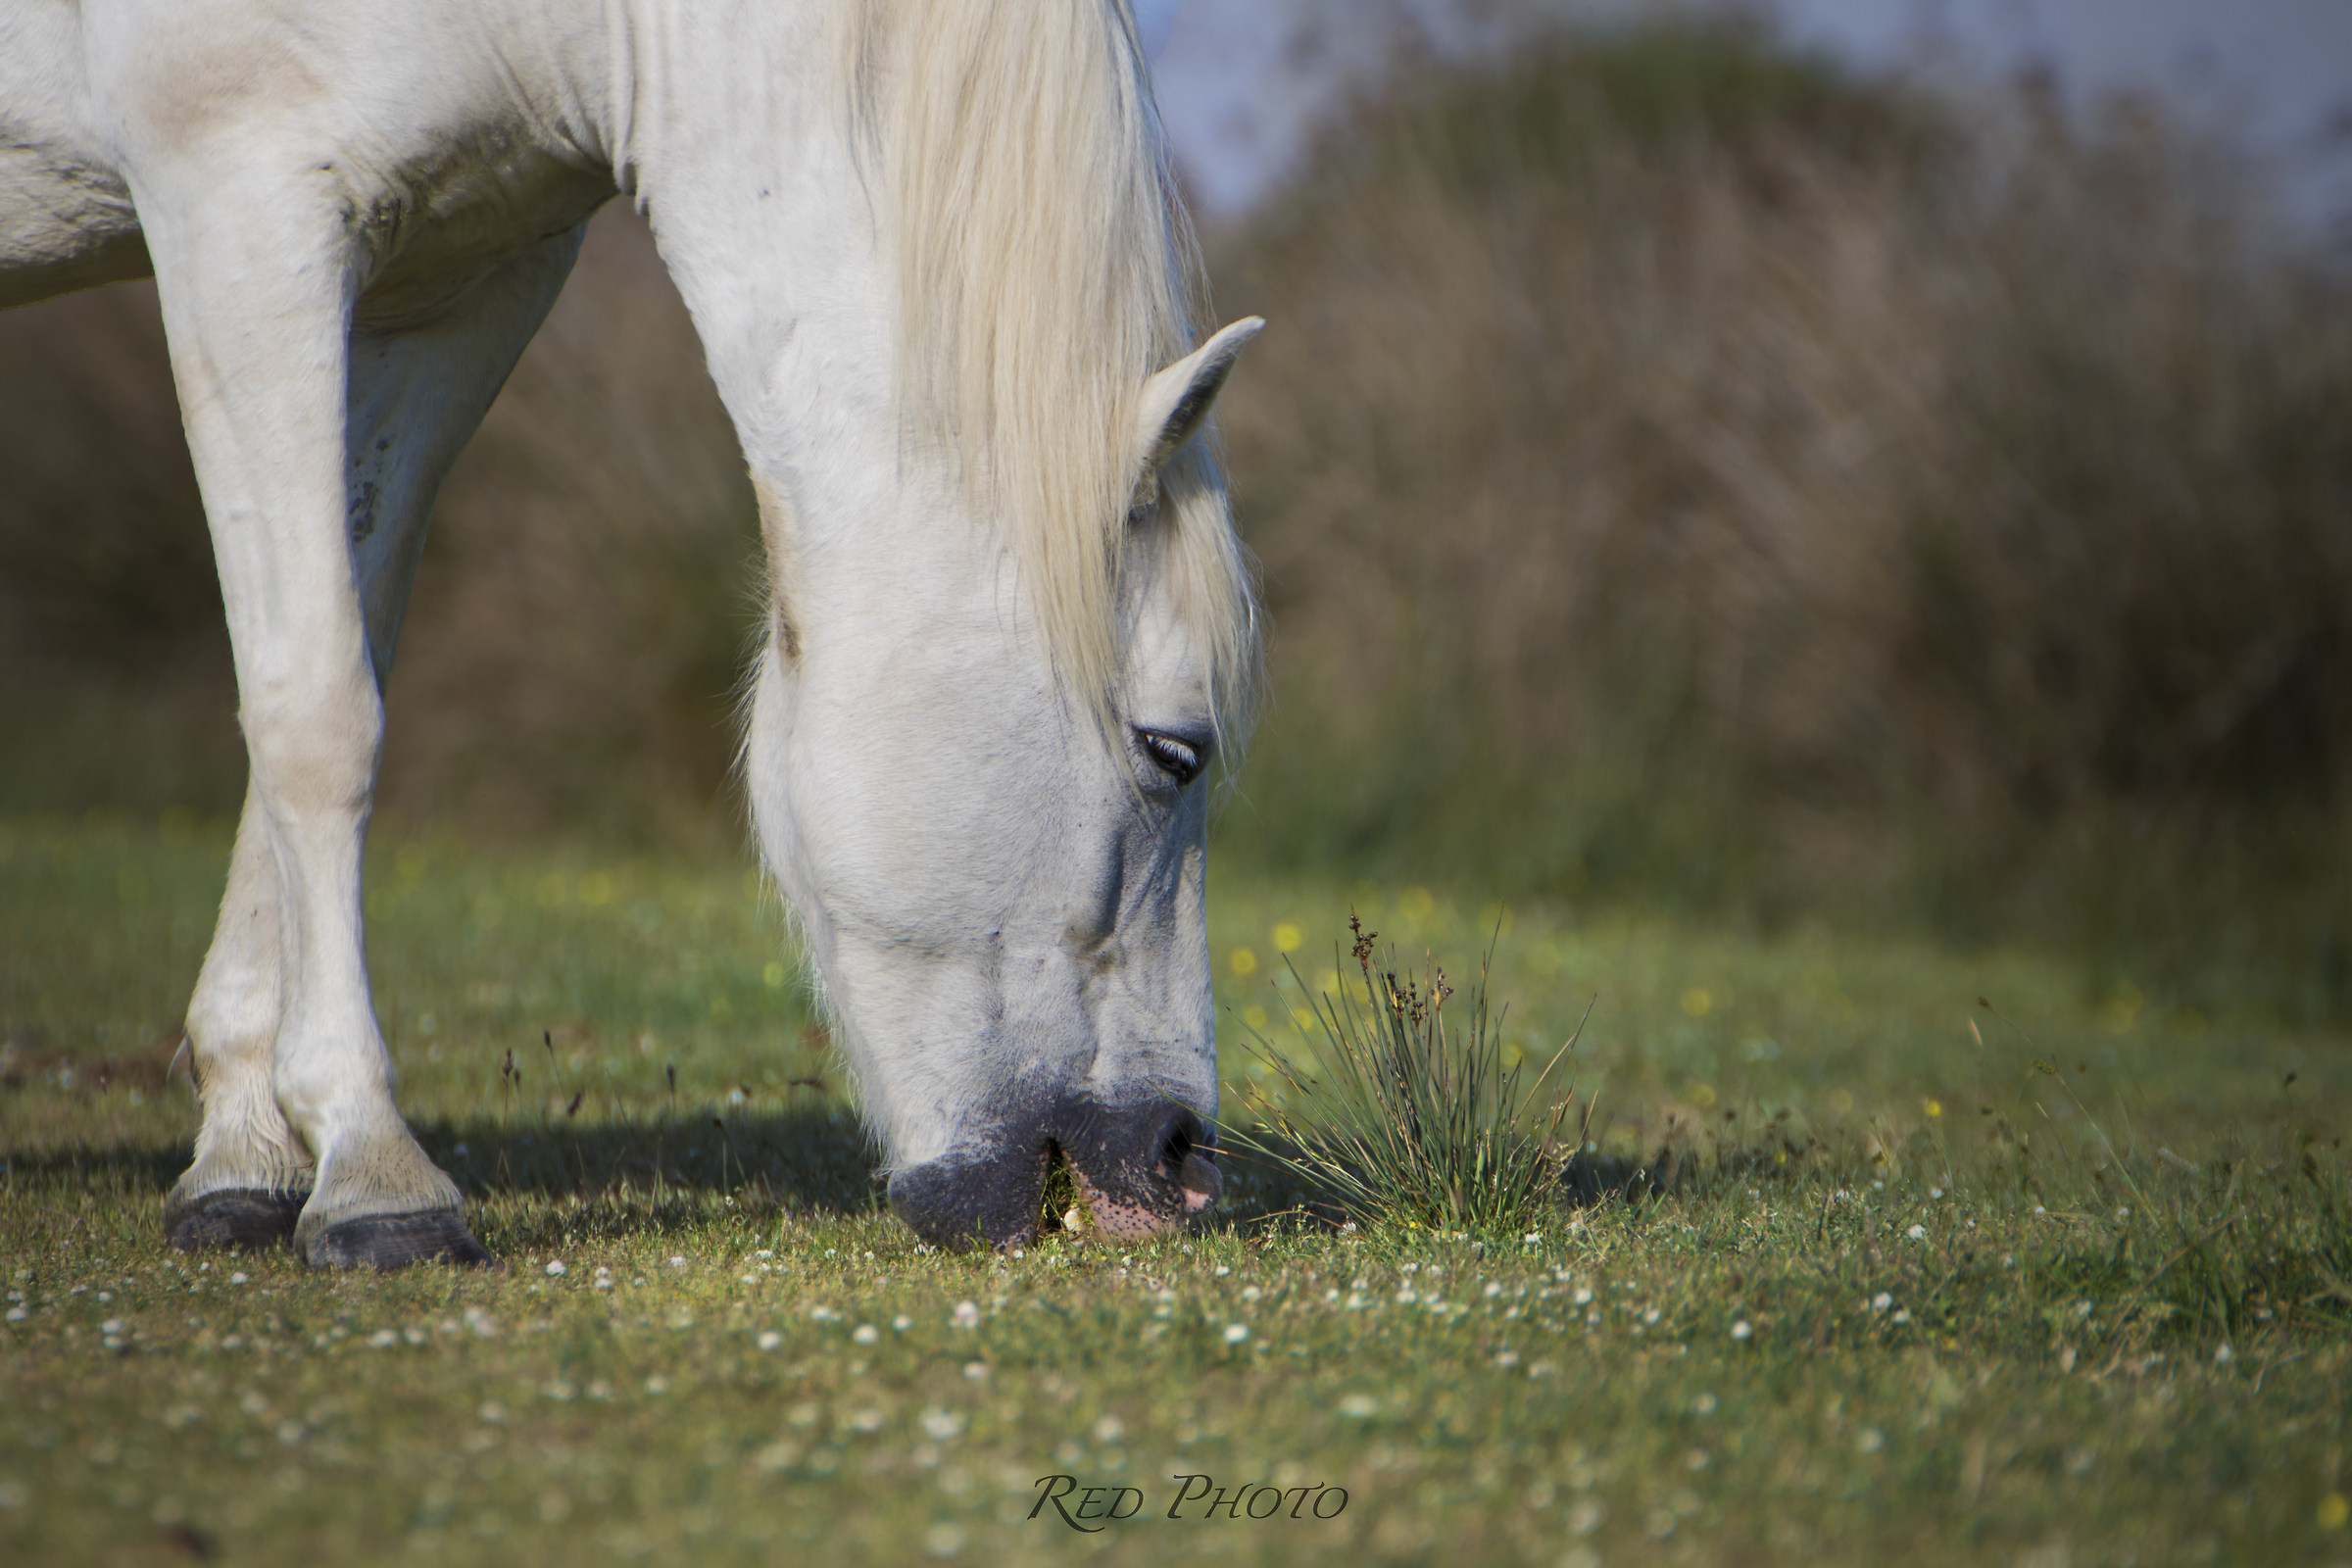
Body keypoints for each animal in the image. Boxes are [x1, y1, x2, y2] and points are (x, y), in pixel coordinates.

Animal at [0, 0, 1263, 1265]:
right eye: (1173, 750)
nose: (1179, 1160)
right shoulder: (240, 212)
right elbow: (317, 711)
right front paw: (373, 1172)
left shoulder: (456, 285)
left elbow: (347, 649)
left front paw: (243, 1158)